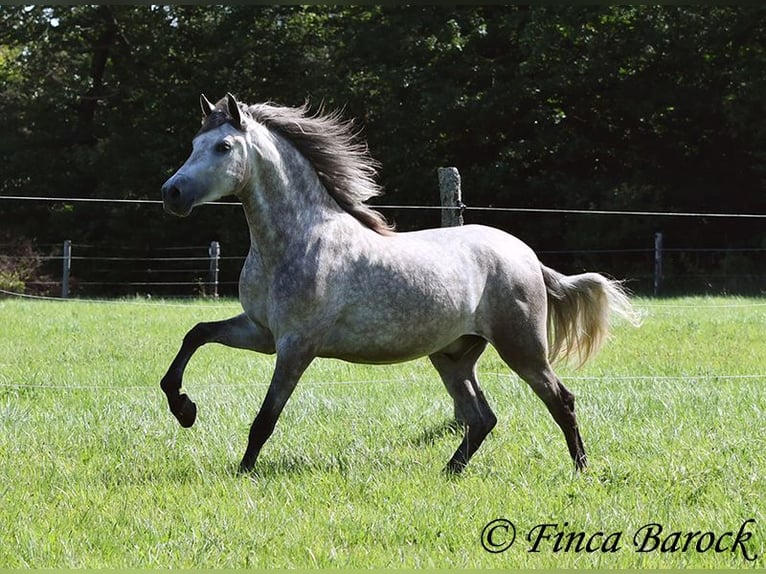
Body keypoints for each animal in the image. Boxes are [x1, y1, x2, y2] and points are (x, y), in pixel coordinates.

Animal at [159, 94, 640, 476]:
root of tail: (527, 256)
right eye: (193, 145)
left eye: (223, 146)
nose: (172, 194)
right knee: (481, 417)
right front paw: (184, 410)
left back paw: (581, 469)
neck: (299, 239)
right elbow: (195, 334)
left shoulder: (296, 345)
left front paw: (242, 472)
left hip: (521, 347)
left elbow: (265, 417)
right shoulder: (261, 332)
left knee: (561, 399)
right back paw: (449, 472)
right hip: (452, 356)